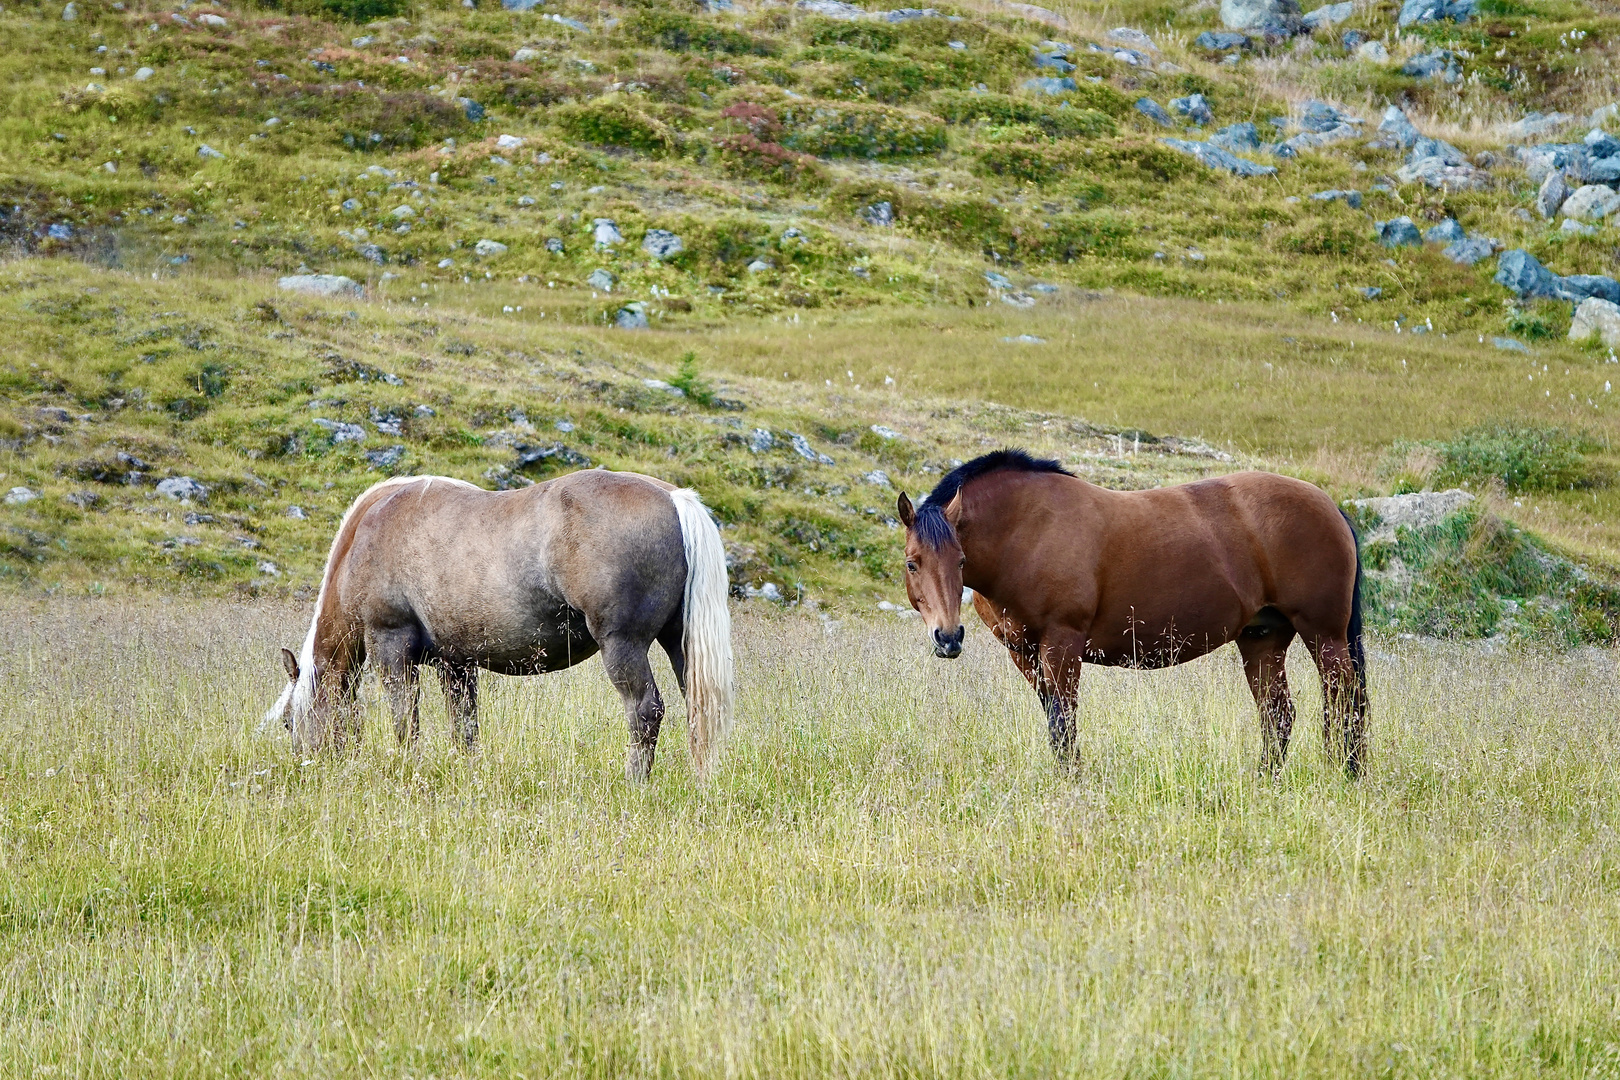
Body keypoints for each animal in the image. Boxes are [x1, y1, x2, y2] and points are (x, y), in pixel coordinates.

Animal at [260, 469, 735, 780]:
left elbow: (404, 717)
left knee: (644, 710)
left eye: (288, 722)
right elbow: (464, 725)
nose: (304, 766)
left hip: (623, 645)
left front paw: (409, 766)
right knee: (697, 707)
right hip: (680, 645)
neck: (367, 533)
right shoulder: (455, 665)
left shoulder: (390, 646)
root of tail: (674, 499)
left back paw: (635, 781)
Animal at [900, 450, 1367, 777]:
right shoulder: (1025, 654)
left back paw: (1344, 775)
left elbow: (1064, 723)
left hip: (1324, 635)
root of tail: (1330, 506)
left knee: (1345, 702)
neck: (1025, 530)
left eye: (961, 560)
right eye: (912, 563)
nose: (948, 638)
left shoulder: (1062, 645)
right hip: (1262, 640)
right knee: (1279, 715)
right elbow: (1054, 720)